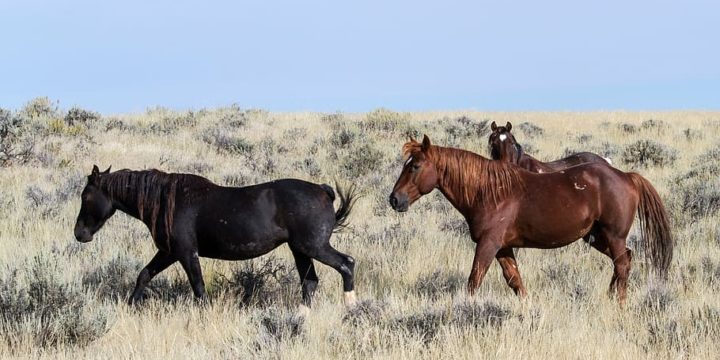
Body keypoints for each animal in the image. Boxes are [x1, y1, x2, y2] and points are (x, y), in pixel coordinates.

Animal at [74, 165, 360, 308]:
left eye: (85, 196)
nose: (79, 234)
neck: (167, 200)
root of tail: (323, 190)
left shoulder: (185, 253)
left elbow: (199, 288)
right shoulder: (168, 252)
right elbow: (144, 274)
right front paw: (130, 307)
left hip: (314, 246)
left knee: (347, 264)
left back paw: (352, 307)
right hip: (300, 250)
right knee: (309, 283)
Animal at [390, 136, 672, 306]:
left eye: (414, 166)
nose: (394, 199)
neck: (488, 191)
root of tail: (626, 176)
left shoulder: (488, 244)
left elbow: (474, 280)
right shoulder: (503, 247)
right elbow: (515, 281)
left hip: (613, 236)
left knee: (622, 263)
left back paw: (619, 303)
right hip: (596, 238)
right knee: (625, 260)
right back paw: (611, 297)